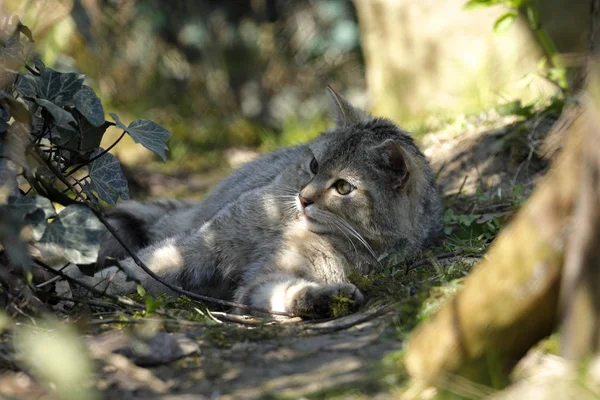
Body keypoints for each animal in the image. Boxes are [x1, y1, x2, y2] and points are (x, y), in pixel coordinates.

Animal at [83, 88, 440, 318]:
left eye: (342, 187)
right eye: (314, 165)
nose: (304, 197)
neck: (288, 225)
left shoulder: (274, 274)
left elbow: (276, 291)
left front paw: (324, 298)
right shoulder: (204, 243)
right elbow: (146, 265)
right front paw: (98, 283)